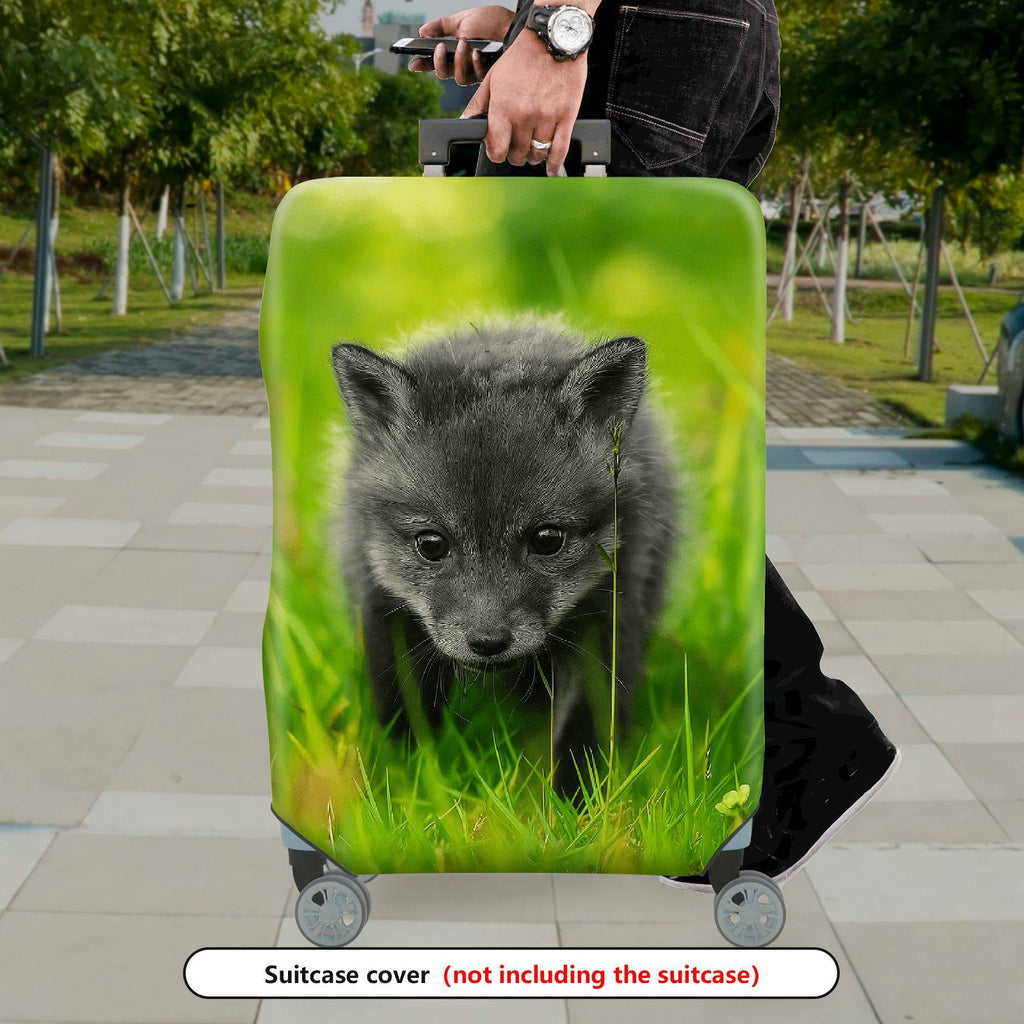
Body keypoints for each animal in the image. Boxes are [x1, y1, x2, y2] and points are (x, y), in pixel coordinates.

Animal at [330, 321, 678, 795]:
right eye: (431, 544)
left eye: (547, 540)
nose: (488, 642)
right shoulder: (383, 607)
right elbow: (407, 724)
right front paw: (411, 790)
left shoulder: (609, 615)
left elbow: (581, 734)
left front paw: (573, 808)